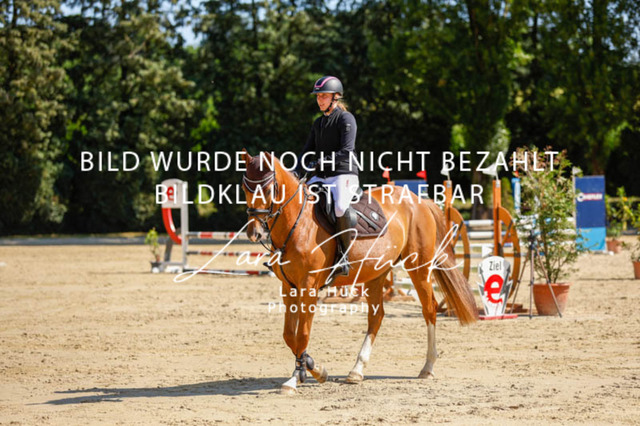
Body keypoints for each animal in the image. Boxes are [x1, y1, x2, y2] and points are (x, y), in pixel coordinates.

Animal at [240, 151, 477, 394]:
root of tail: (419, 200)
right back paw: (357, 370)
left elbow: (302, 334)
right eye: (245, 188)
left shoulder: (309, 287)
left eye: (269, 189)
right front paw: (313, 369)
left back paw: (427, 367)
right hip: (377, 274)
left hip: (419, 268)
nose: (254, 233)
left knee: (429, 308)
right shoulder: (289, 287)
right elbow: (290, 335)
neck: (298, 224)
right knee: (376, 316)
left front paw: (298, 376)